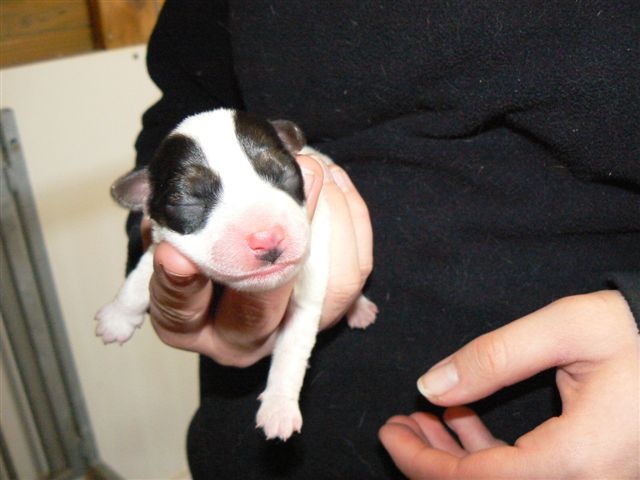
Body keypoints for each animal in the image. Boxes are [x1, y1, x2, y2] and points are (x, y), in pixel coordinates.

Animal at [95, 109, 377, 440]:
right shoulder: (163, 245)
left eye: (283, 174)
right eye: (188, 199)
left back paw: (359, 308)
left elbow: (292, 348)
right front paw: (118, 316)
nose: (266, 238)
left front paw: (279, 407)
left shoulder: (309, 282)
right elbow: (140, 276)